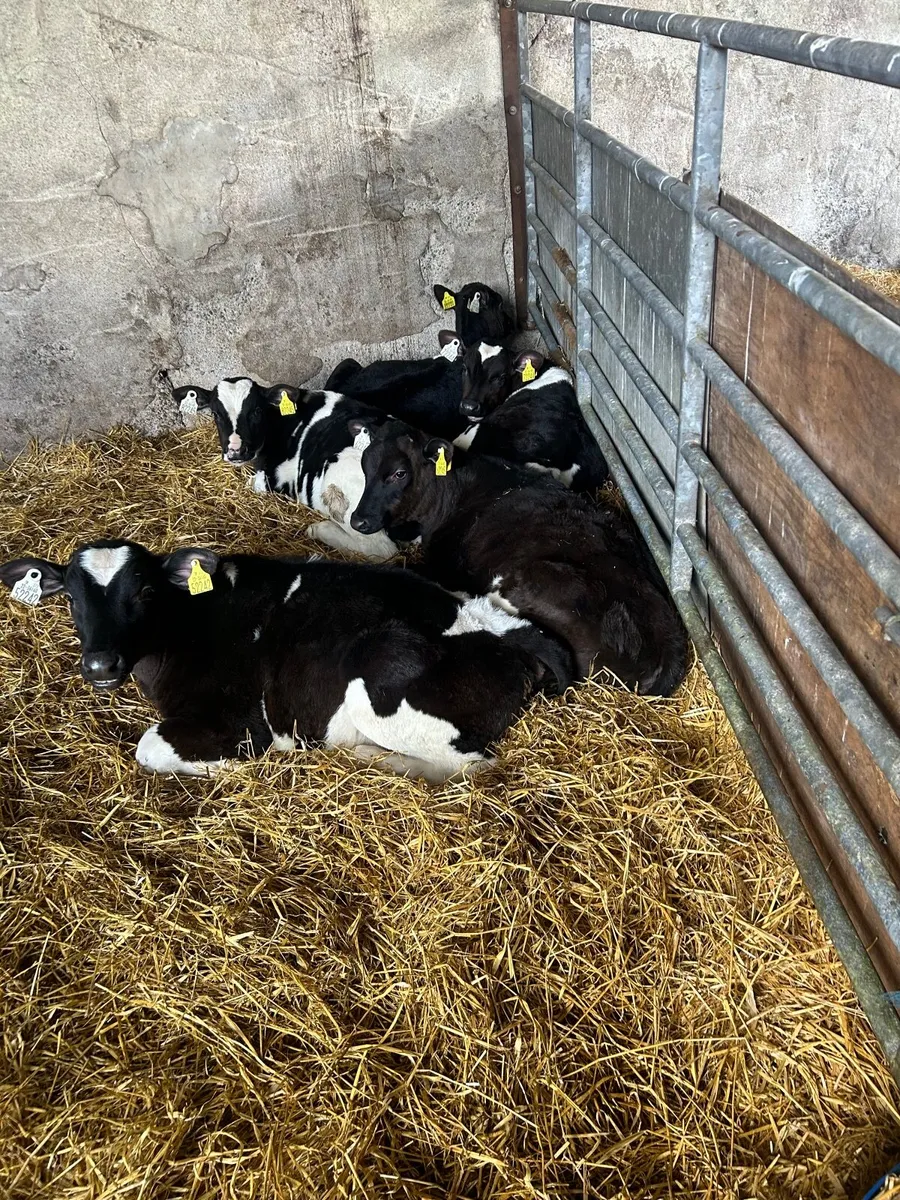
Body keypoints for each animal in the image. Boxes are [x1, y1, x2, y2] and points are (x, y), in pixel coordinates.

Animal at [0, 539, 574, 783]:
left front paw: (224, 768)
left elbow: (150, 748)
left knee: (471, 766)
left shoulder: (240, 720)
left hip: (381, 677)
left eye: (144, 591)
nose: (100, 664)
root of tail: (501, 628)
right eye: (72, 599)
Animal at [171, 377, 408, 560]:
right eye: (216, 414)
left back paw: (319, 529)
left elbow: (251, 483)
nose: (236, 451)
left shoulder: (273, 479)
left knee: (381, 549)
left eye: (256, 411)